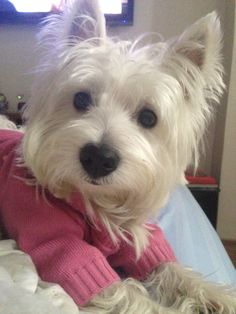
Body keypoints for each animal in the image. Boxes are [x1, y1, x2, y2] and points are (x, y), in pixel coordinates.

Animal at [0, 0, 236, 314]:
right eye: (81, 99)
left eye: (148, 117)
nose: (98, 158)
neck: (100, 204)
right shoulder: (62, 248)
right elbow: (131, 296)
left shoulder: (141, 238)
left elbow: (174, 268)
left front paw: (218, 297)